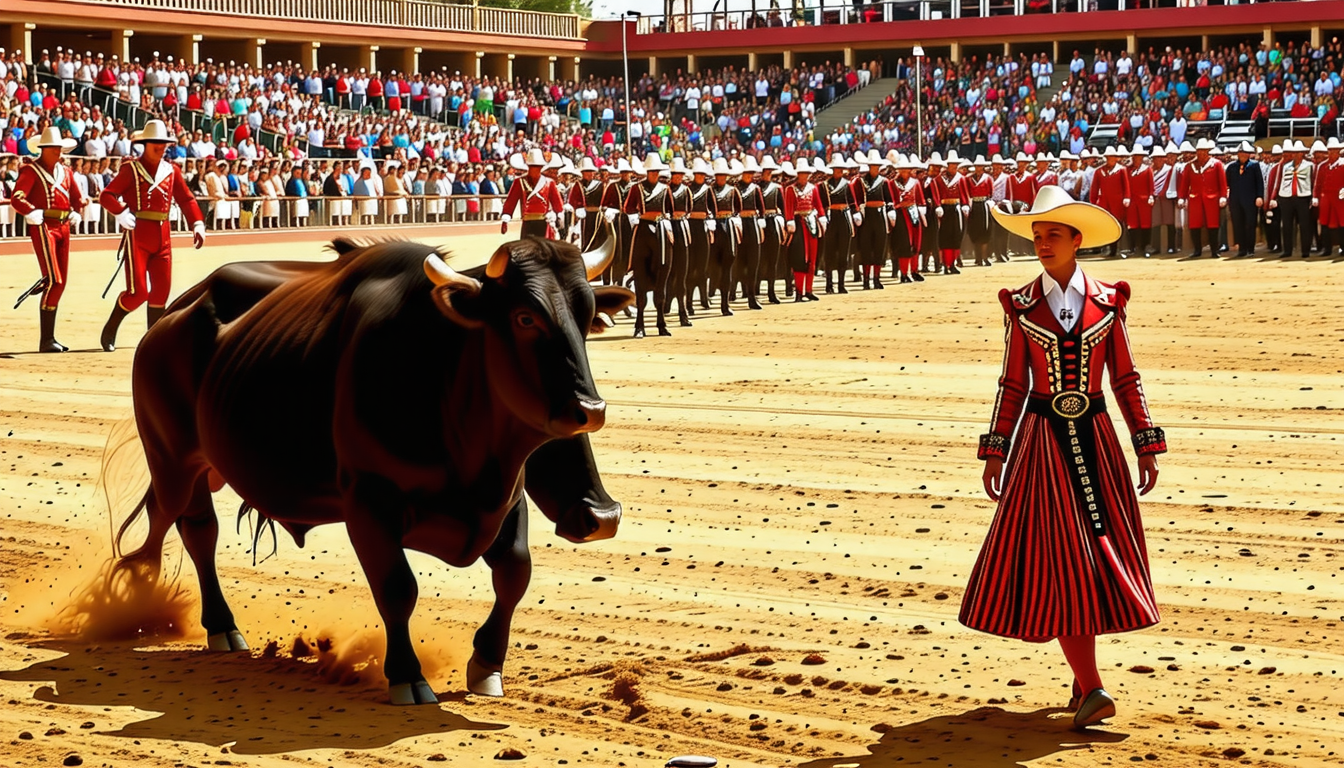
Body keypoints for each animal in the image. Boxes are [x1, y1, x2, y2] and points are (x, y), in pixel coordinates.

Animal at [114, 235, 634, 710]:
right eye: (525, 317)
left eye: (586, 319)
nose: (589, 410)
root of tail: (176, 309)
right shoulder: (368, 502)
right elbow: (398, 588)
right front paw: (407, 676)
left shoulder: (507, 499)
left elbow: (514, 572)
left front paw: (486, 664)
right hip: (174, 459)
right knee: (196, 528)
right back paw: (210, 622)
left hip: (201, 468)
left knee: (175, 521)